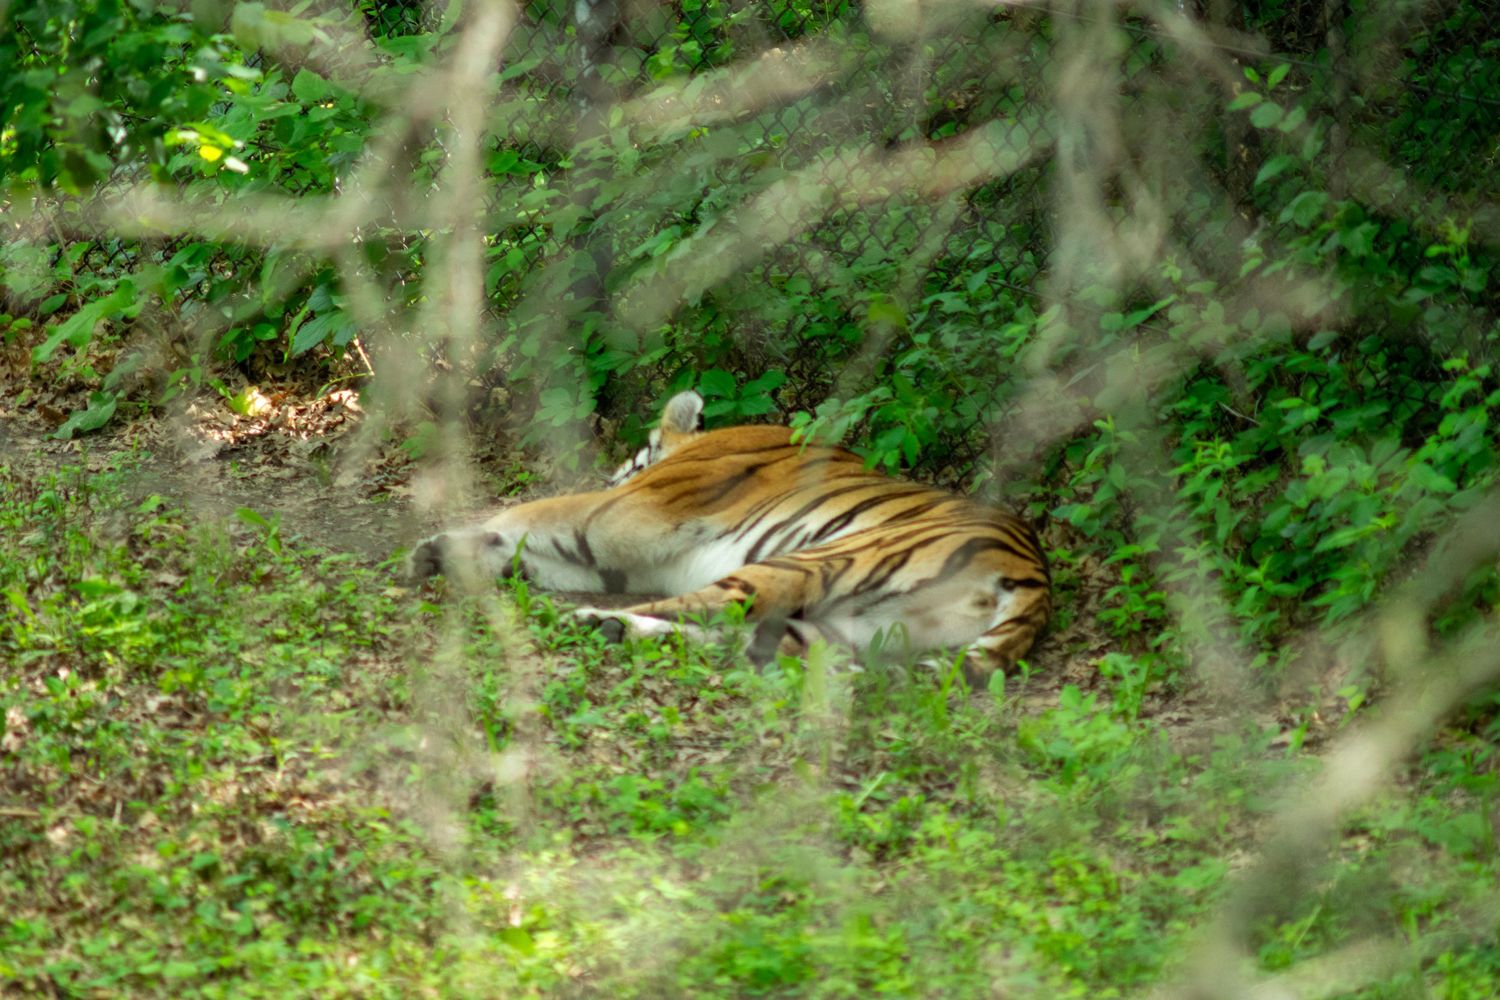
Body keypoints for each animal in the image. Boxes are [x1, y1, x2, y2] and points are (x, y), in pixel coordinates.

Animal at [406, 390, 1051, 686]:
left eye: (628, 463)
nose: (615, 472)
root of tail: (1035, 578)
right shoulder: (628, 556)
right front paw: (448, 554)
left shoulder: (628, 513)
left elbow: (532, 514)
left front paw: (444, 543)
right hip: (855, 628)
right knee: (746, 642)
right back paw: (612, 629)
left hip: (812, 560)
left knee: (705, 606)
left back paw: (592, 622)